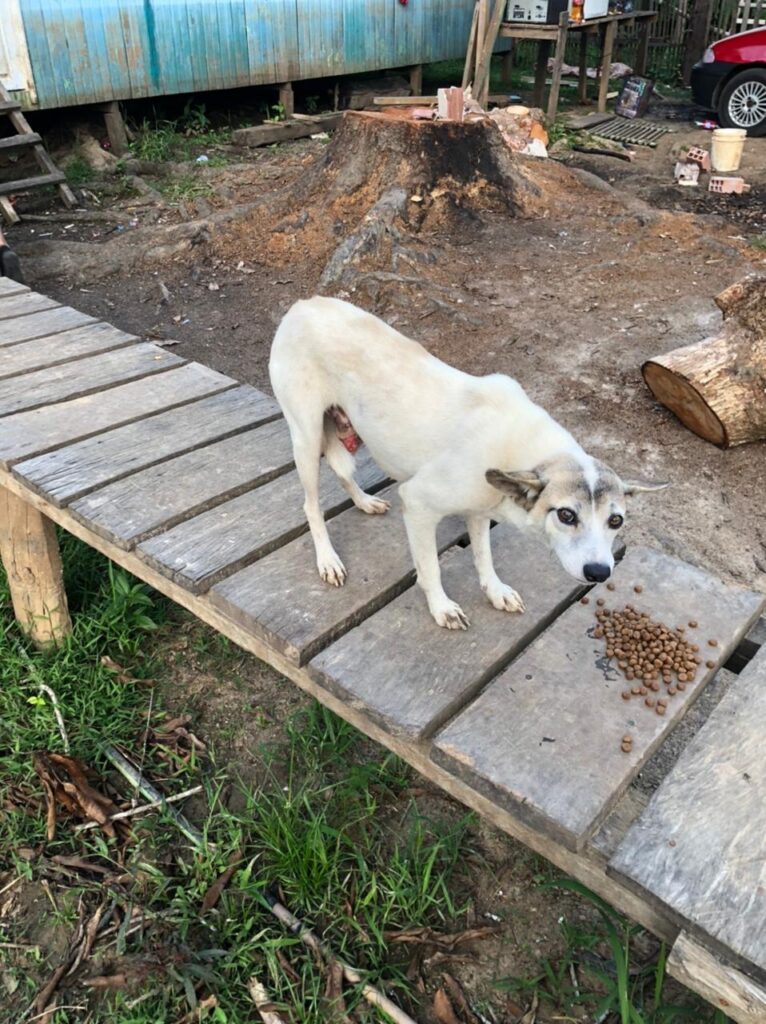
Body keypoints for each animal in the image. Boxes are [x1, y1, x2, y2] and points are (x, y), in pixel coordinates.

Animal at [269, 296, 668, 629]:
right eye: (566, 515)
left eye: (616, 521)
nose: (600, 572)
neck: (525, 448)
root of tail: (303, 304)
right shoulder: (417, 505)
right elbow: (430, 568)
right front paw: (441, 607)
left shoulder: (479, 511)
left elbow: (483, 557)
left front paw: (495, 591)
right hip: (306, 439)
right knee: (311, 505)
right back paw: (328, 560)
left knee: (343, 473)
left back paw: (365, 501)